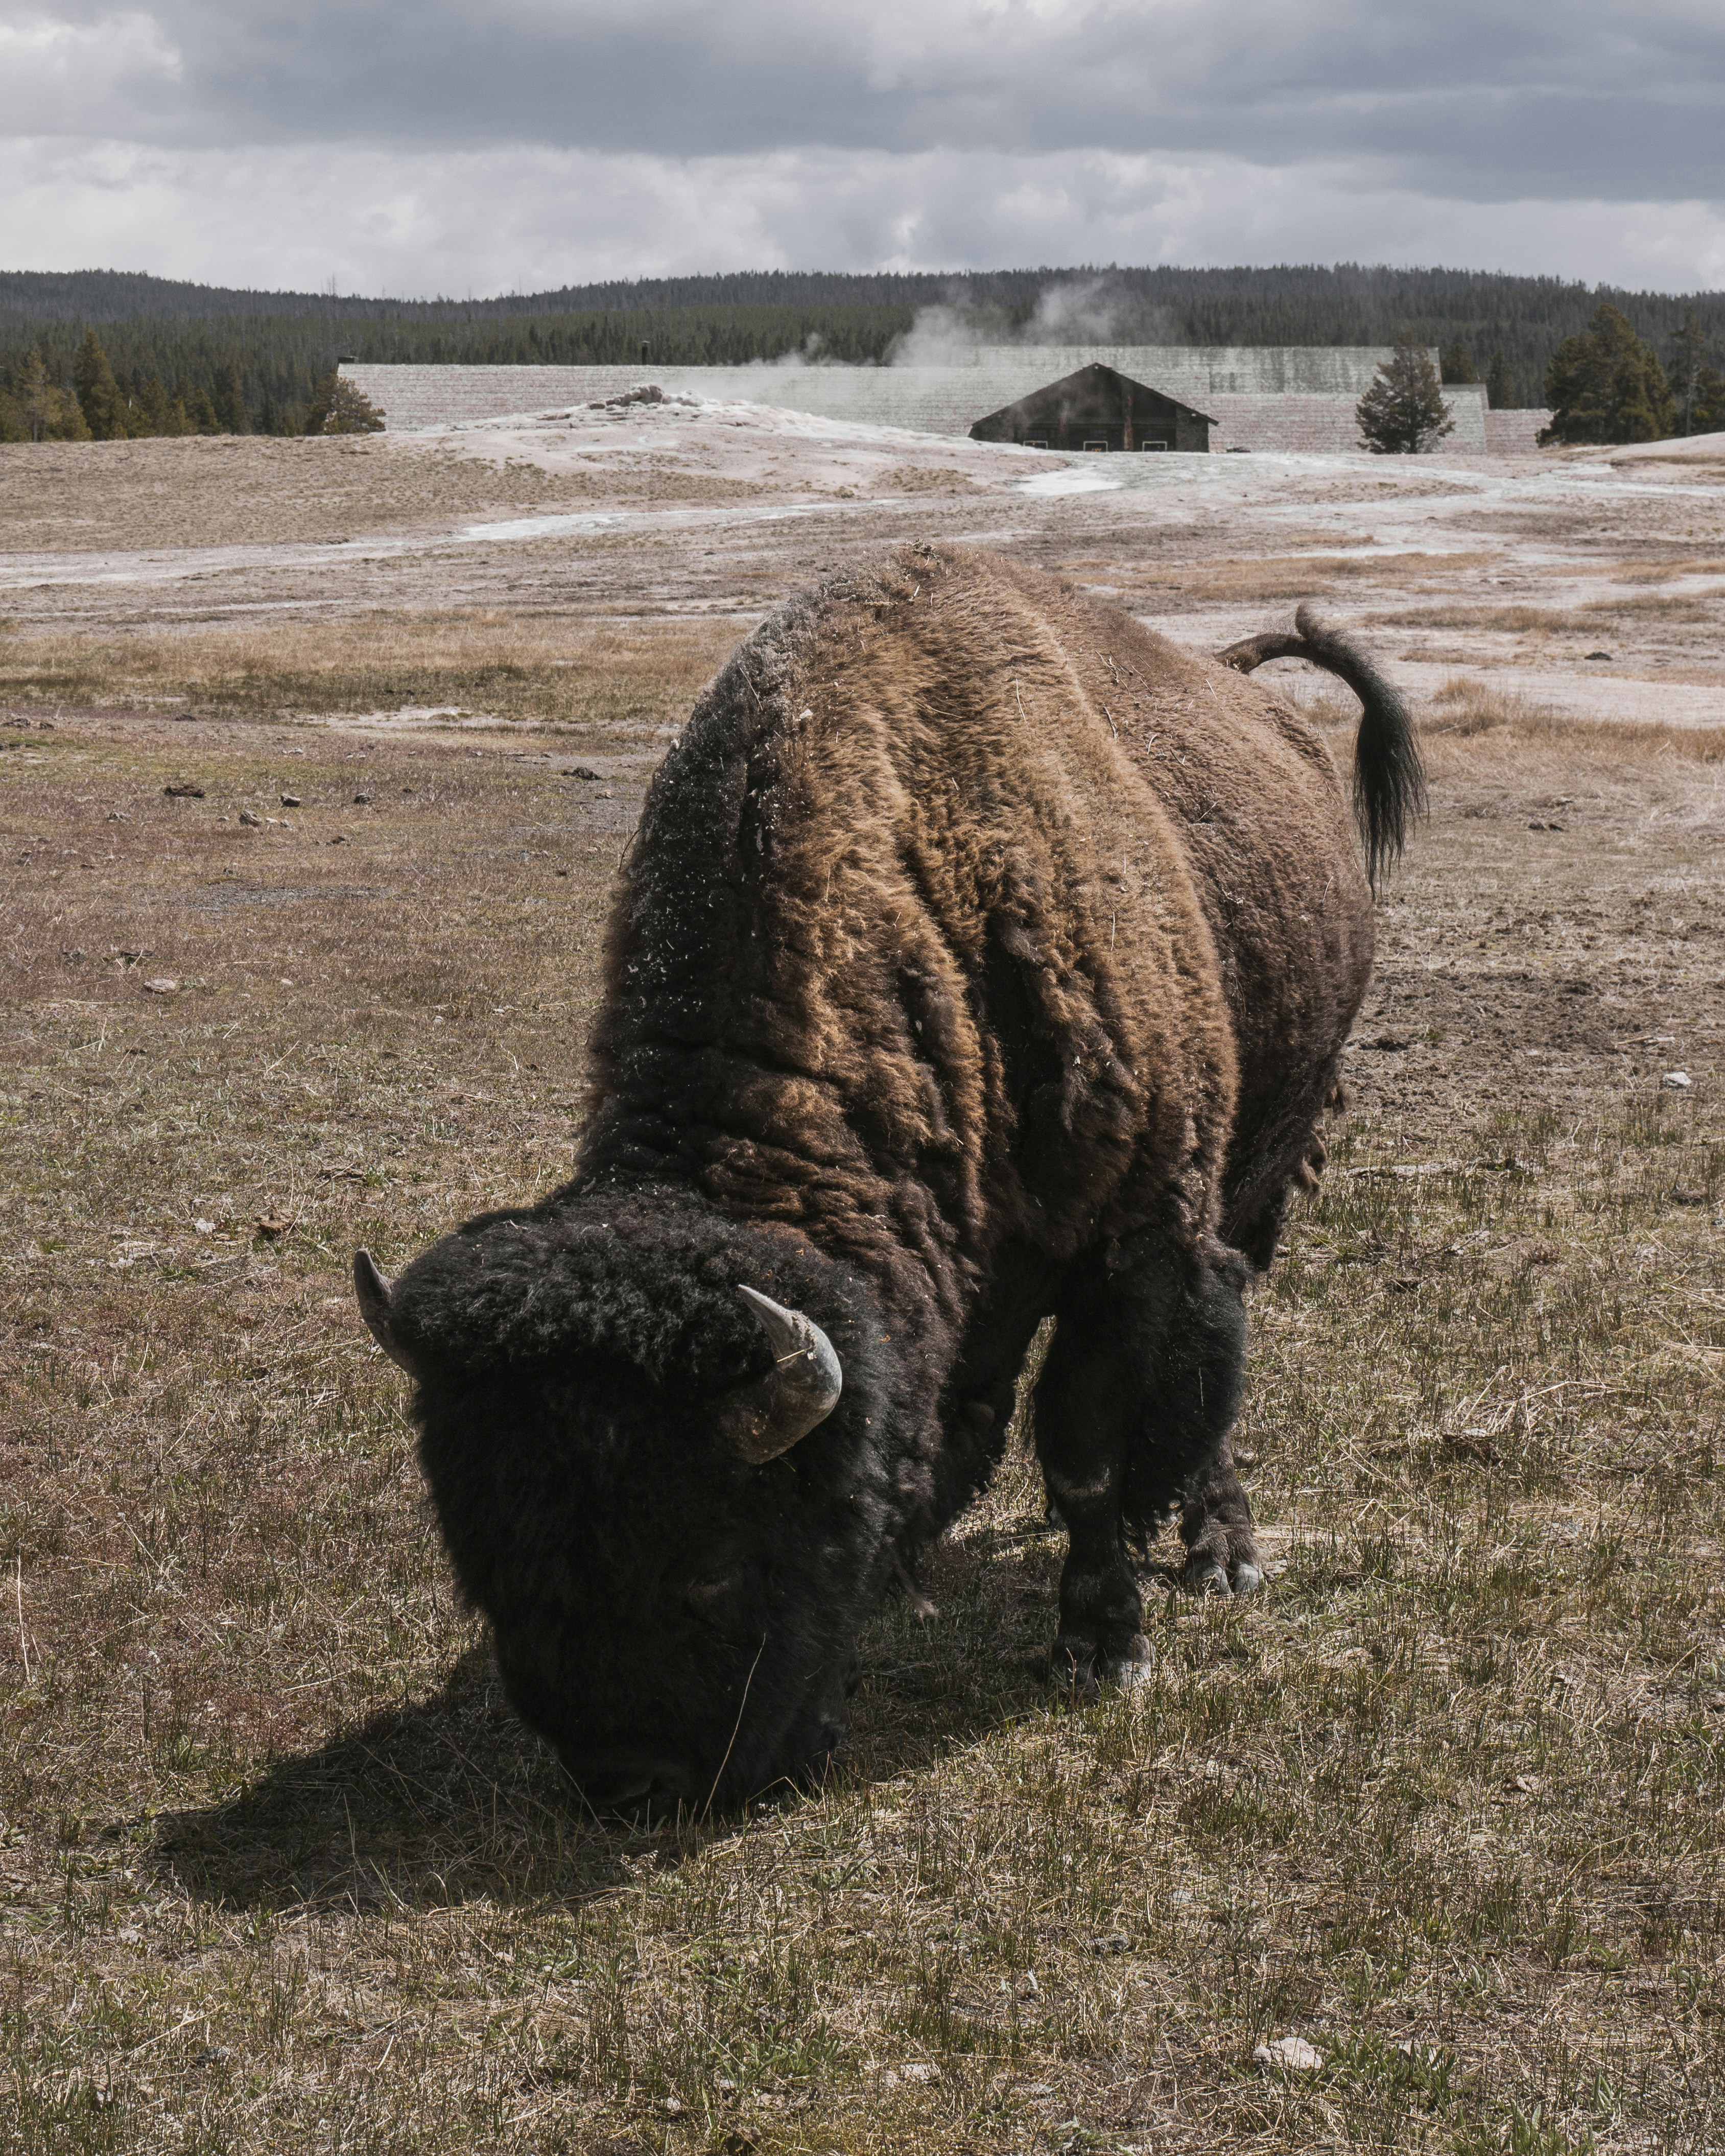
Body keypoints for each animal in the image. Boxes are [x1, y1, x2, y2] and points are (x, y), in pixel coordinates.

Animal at [354, 544, 1421, 1813]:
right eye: (484, 1559)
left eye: (712, 1565)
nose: (631, 1781)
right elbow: (962, 1413)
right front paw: (905, 1578)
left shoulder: (1128, 1248)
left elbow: (1083, 1450)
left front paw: (1101, 1645)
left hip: (1252, 1184)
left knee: (1212, 1375)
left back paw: (1221, 1554)